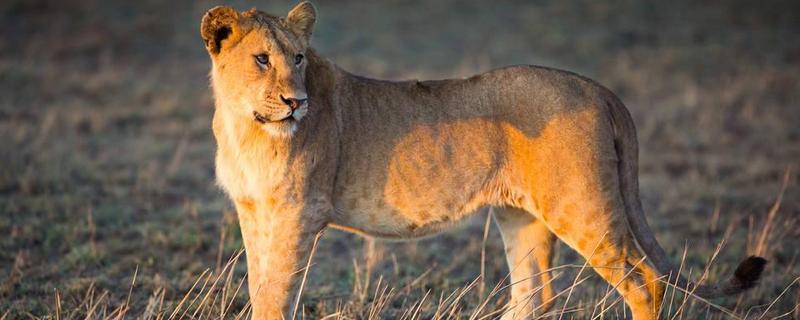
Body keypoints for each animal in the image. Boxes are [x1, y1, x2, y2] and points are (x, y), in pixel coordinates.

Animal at [198, 3, 764, 320]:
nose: (297, 102)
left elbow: (275, 296)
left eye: (298, 58)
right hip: (522, 217)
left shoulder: (299, 214)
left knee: (644, 282)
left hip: (583, 208)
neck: (243, 124)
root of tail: (599, 88)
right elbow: (259, 286)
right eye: (262, 59)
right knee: (535, 297)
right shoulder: (254, 211)